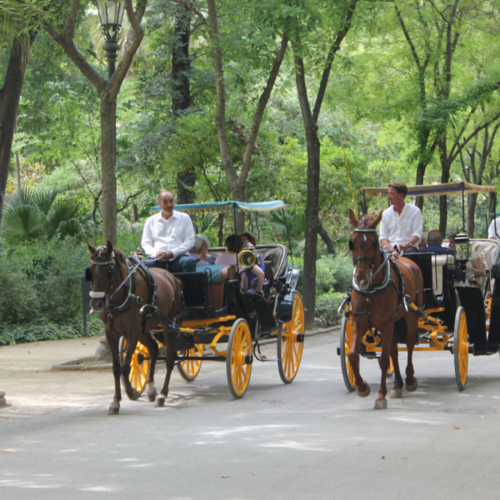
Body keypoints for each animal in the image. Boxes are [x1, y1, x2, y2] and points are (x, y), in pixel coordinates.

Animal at [87, 241, 183, 414]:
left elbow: (125, 367)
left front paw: (131, 391)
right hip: (143, 330)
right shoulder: (112, 333)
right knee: (153, 348)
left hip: (169, 326)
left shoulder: (132, 332)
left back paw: (163, 394)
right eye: (90, 269)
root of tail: (173, 278)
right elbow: (116, 368)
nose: (96, 303)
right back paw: (151, 389)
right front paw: (116, 401)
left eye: (109, 270)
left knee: (170, 359)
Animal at [350, 209, 424, 408]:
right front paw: (362, 387)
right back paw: (397, 384)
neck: (371, 290)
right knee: (393, 350)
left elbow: (383, 360)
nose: (361, 280)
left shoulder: (386, 322)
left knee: (409, 342)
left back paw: (410, 379)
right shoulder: (360, 322)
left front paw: (381, 396)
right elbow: (353, 355)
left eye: (374, 242)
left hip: (410, 316)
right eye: (352, 242)